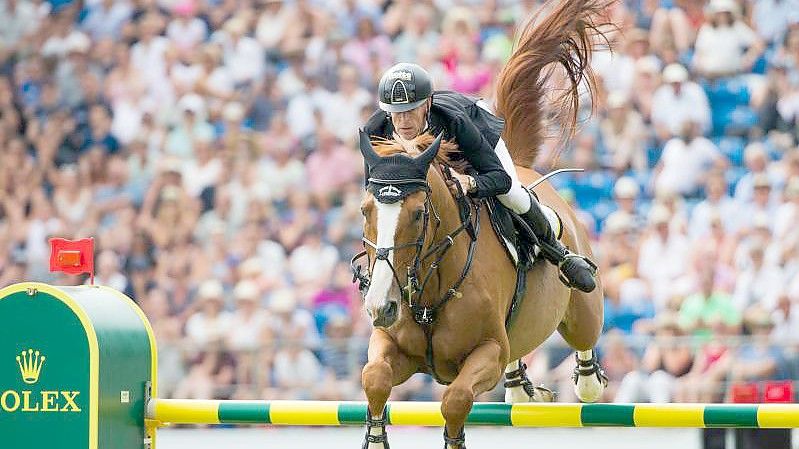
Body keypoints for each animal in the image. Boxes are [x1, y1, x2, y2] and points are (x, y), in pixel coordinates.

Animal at [354, 1, 608, 446]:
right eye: (367, 210)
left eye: (418, 214)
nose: (381, 306)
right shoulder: (389, 342)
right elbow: (375, 377)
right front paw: (376, 436)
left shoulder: (487, 351)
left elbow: (455, 400)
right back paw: (519, 387)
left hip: (581, 312)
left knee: (585, 337)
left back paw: (586, 376)